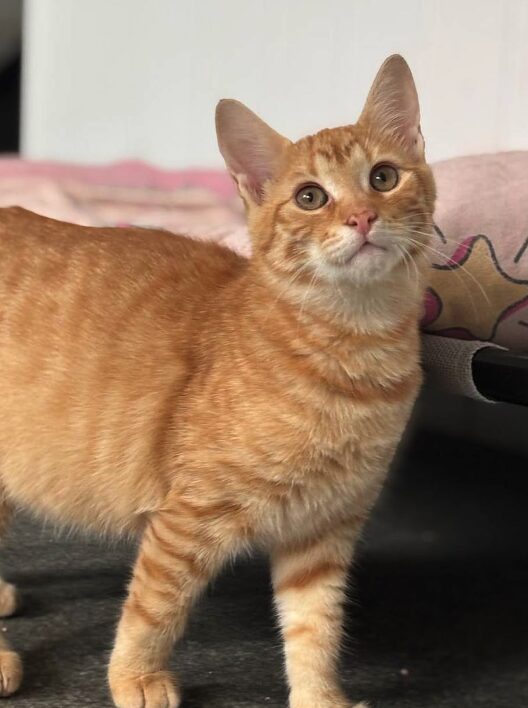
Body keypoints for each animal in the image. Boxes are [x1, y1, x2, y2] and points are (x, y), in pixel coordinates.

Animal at [0, 56, 436, 708]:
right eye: (310, 197)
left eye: (383, 177)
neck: (354, 353)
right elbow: (154, 609)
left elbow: (315, 629)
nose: (362, 217)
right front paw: (134, 675)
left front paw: (318, 697)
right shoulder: (189, 518)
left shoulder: (324, 533)